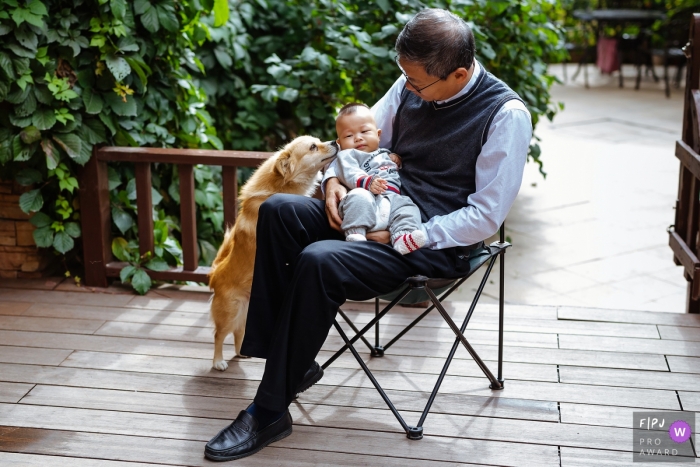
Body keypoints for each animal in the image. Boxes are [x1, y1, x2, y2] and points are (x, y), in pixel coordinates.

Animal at [208, 136, 340, 372]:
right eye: (313, 147)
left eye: (318, 141)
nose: (334, 140)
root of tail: (214, 274)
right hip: (231, 311)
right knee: (219, 334)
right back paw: (218, 361)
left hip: (247, 312)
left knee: (239, 332)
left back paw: (241, 352)